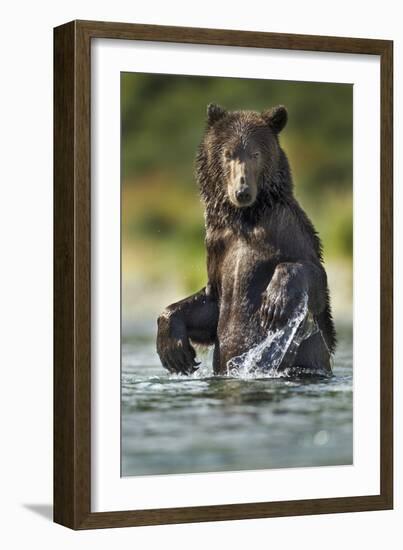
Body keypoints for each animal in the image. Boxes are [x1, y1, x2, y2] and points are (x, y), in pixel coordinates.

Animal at [156, 104, 336, 376]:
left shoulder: (286, 228)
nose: (242, 191)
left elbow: (314, 278)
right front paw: (175, 352)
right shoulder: (217, 244)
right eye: (228, 154)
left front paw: (274, 303)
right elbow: (210, 303)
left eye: (255, 153)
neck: (245, 219)